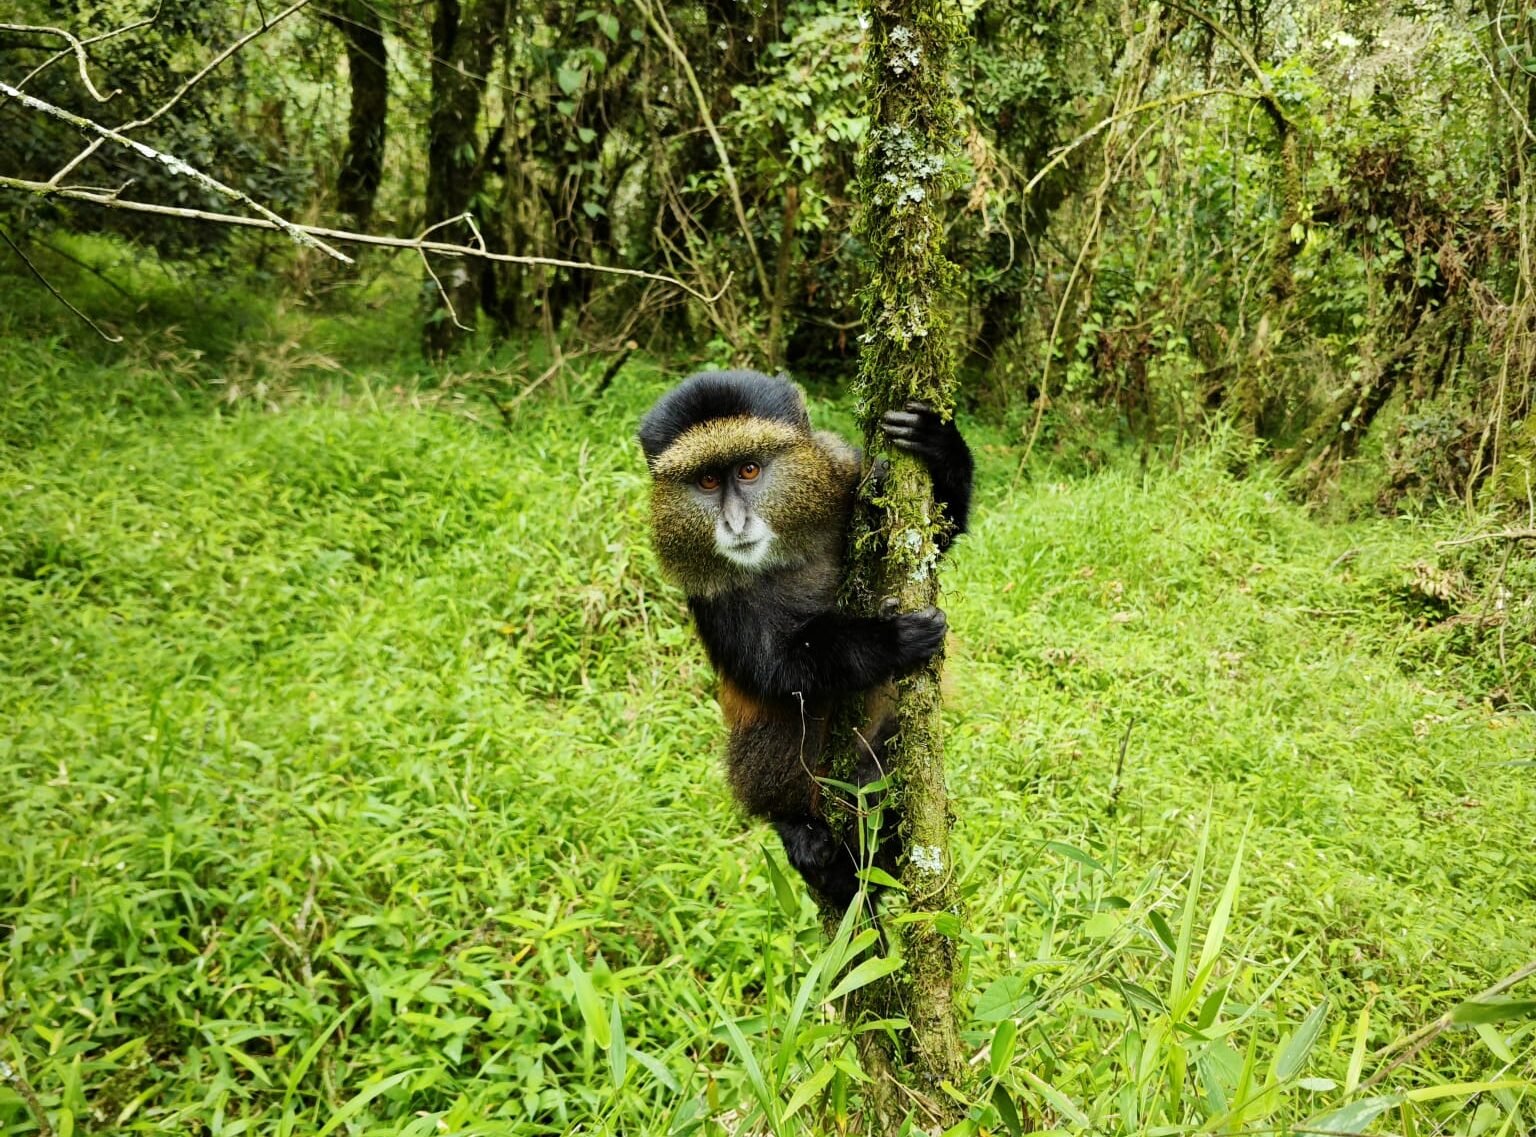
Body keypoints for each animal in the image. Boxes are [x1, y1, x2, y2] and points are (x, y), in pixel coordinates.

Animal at [638, 370, 973, 908]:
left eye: (749, 470)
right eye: (707, 481)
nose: (734, 523)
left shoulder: (847, 473)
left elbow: (939, 536)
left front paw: (936, 440)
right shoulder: (707, 591)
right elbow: (774, 668)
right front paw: (889, 640)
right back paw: (800, 830)